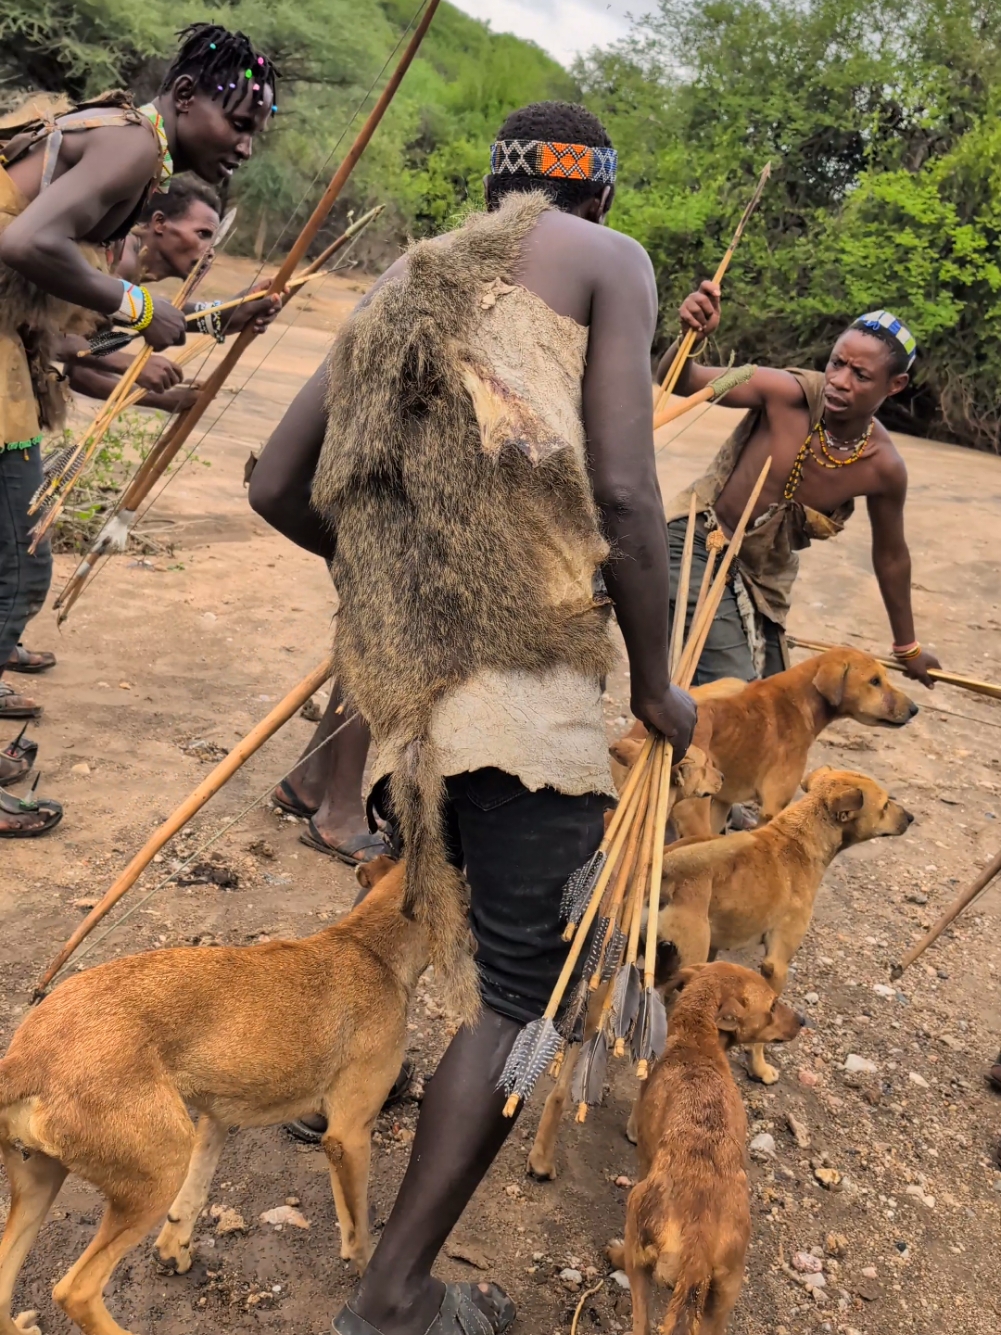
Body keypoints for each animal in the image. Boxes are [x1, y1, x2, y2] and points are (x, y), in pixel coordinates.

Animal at [0, 854, 421, 1335]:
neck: (369, 946)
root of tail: (29, 1058)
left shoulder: (218, 1116)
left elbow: (195, 1191)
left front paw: (174, 1248)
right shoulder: (349, 1136)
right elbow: (361, 1227)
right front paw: (368, 1272)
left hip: (40, 1182)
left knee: (3, 1289)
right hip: (158, 1170)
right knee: (75, 1290)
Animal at [603, 966, 806, 1329]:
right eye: (773, 1005)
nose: (803, 1020)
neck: (697, 1036)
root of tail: (699, 1245)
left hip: (637, 1225)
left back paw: (616, 1255)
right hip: (721, 1300)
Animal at [659, 763, 918, 1084]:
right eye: (884, 805)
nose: (911, 817)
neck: (800, 839)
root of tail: (664, 864)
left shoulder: (716, 950)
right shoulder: (777, 965)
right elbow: (762, 1034)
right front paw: (759, 1067)